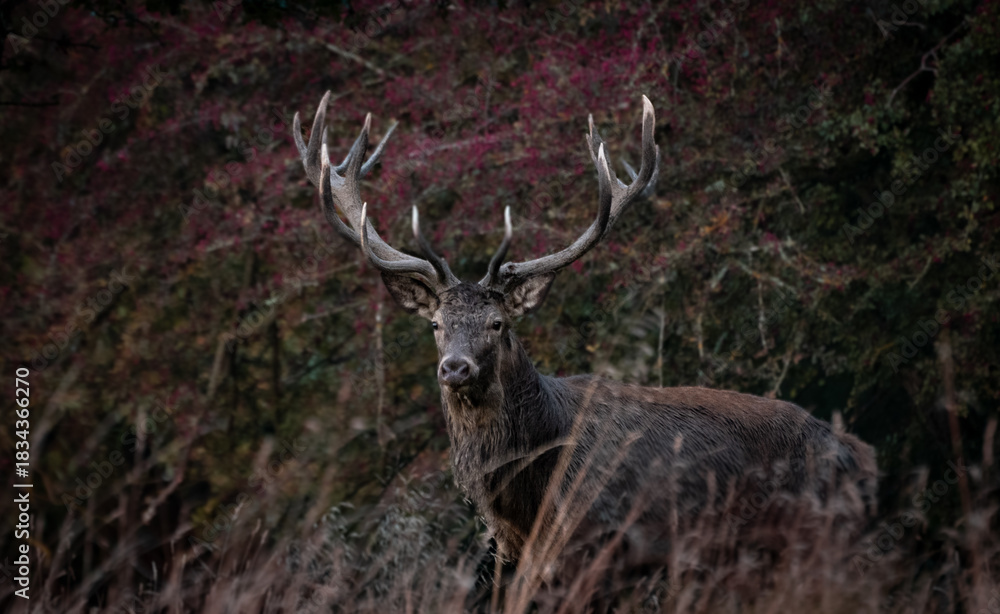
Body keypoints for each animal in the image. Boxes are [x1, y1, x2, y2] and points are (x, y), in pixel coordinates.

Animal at [292, 92, 877, 569]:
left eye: (498, 323)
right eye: (436, 323)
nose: (455, 368)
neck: (528, 497)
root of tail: (859, 455)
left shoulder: (606, 541)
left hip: (818, 537)